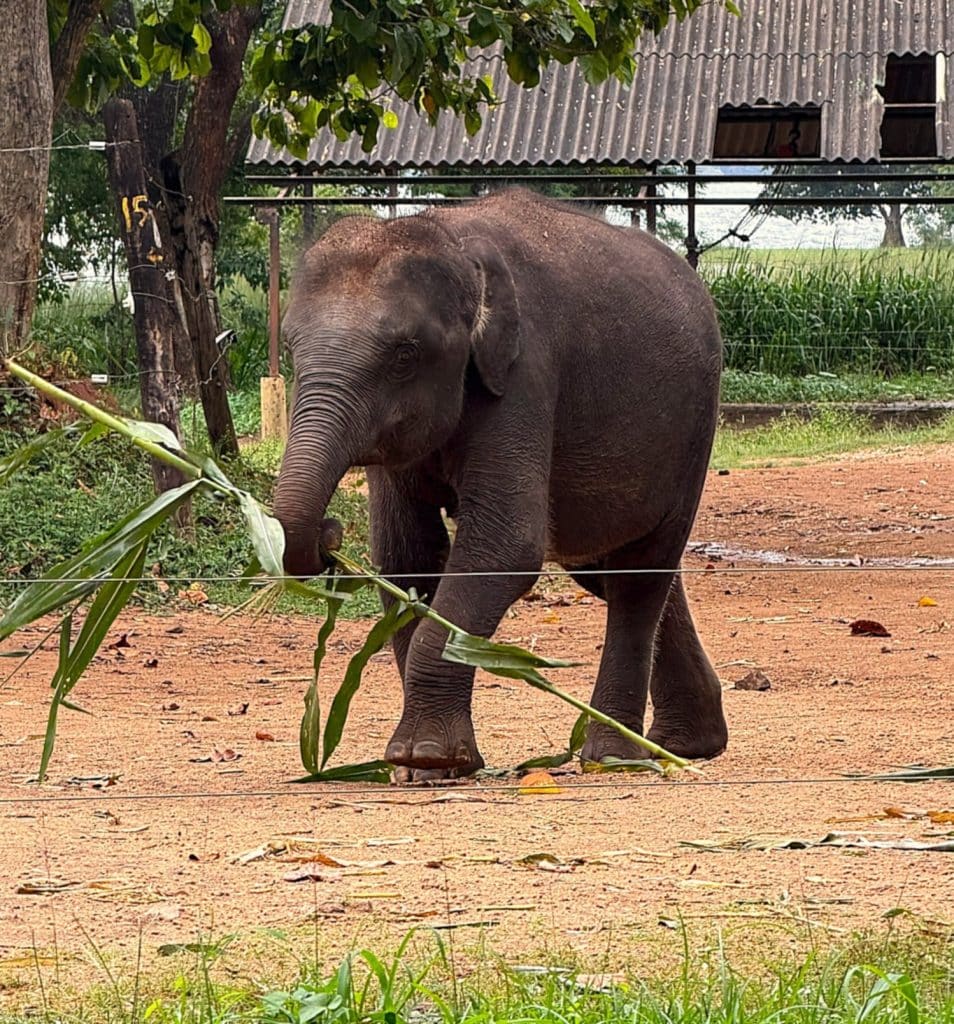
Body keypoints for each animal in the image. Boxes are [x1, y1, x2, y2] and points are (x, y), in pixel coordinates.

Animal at [273, 188, 728, 782]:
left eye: (404, 354)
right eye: (290, 347)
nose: (329, 534)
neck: (450, 237)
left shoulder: (526, 372)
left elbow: (504, 545)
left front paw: (428, 758)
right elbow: (406, 556)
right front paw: (422, 770)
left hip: (692, 430)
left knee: (639, 575)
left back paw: (614, 758)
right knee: (611, 570)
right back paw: (684, 746)